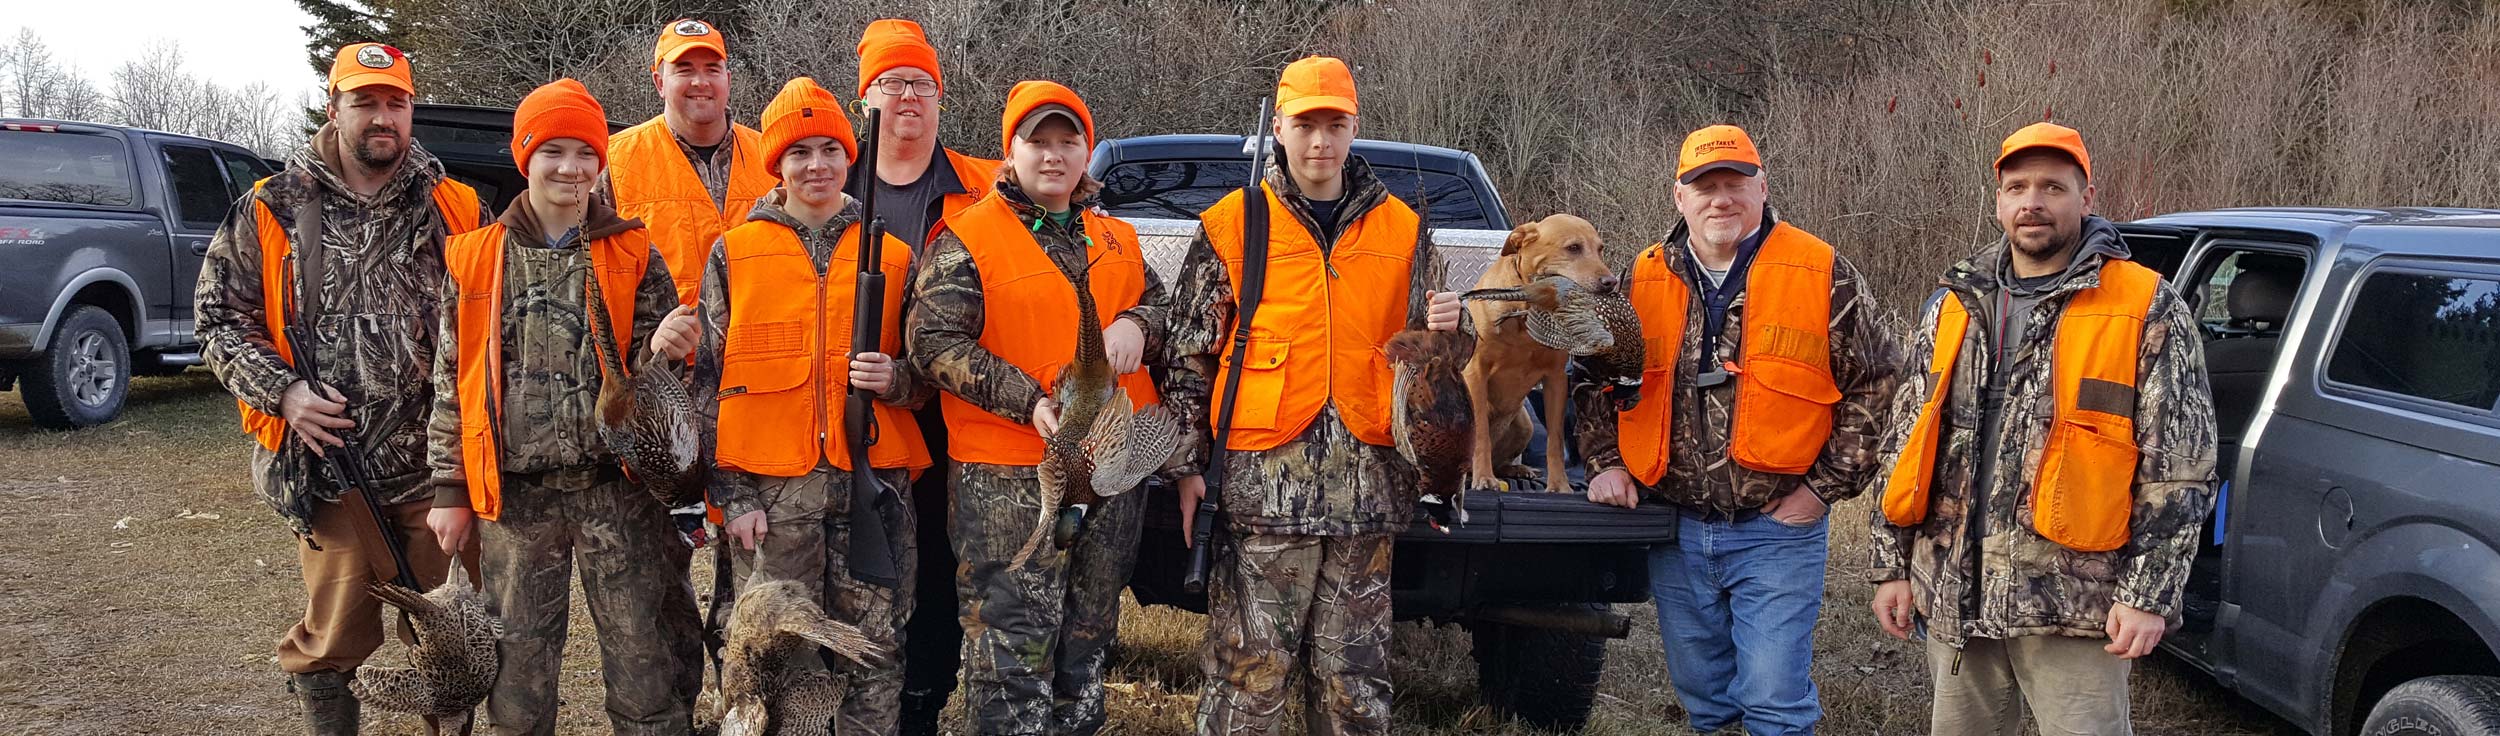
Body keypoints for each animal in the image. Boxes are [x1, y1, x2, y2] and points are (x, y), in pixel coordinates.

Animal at [1462, 214, 1618, 494]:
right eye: (1573, 248)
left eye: (1600, 249)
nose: (1610, 282)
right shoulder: (1475, 372)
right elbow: (1481, 435)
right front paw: (1484, 478)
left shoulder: (1556, 379)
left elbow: (1555, 440)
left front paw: (1559, 484)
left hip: (1524, 424)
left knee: (1503, 460)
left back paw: (1518, 469)